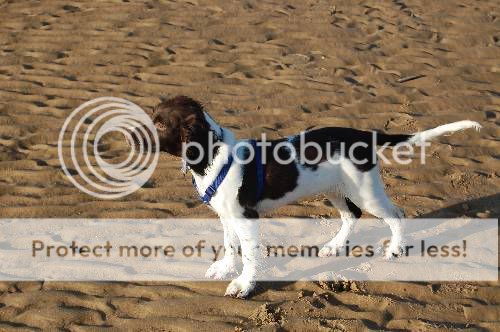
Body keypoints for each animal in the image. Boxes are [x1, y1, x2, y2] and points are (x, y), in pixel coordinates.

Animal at [140, 96, 480, 298]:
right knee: (351, 216)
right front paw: (224, 269)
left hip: (365, 191)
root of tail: (363, 135)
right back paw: (334, 246)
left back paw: (395, 249)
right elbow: (229, 245)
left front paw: (243, 285)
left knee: (396, 215)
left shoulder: (246, 217)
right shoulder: (226, 215)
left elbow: (248, 254)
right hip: (335, 190)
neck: (214, 155)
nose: (133, 135)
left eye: (160, 123)